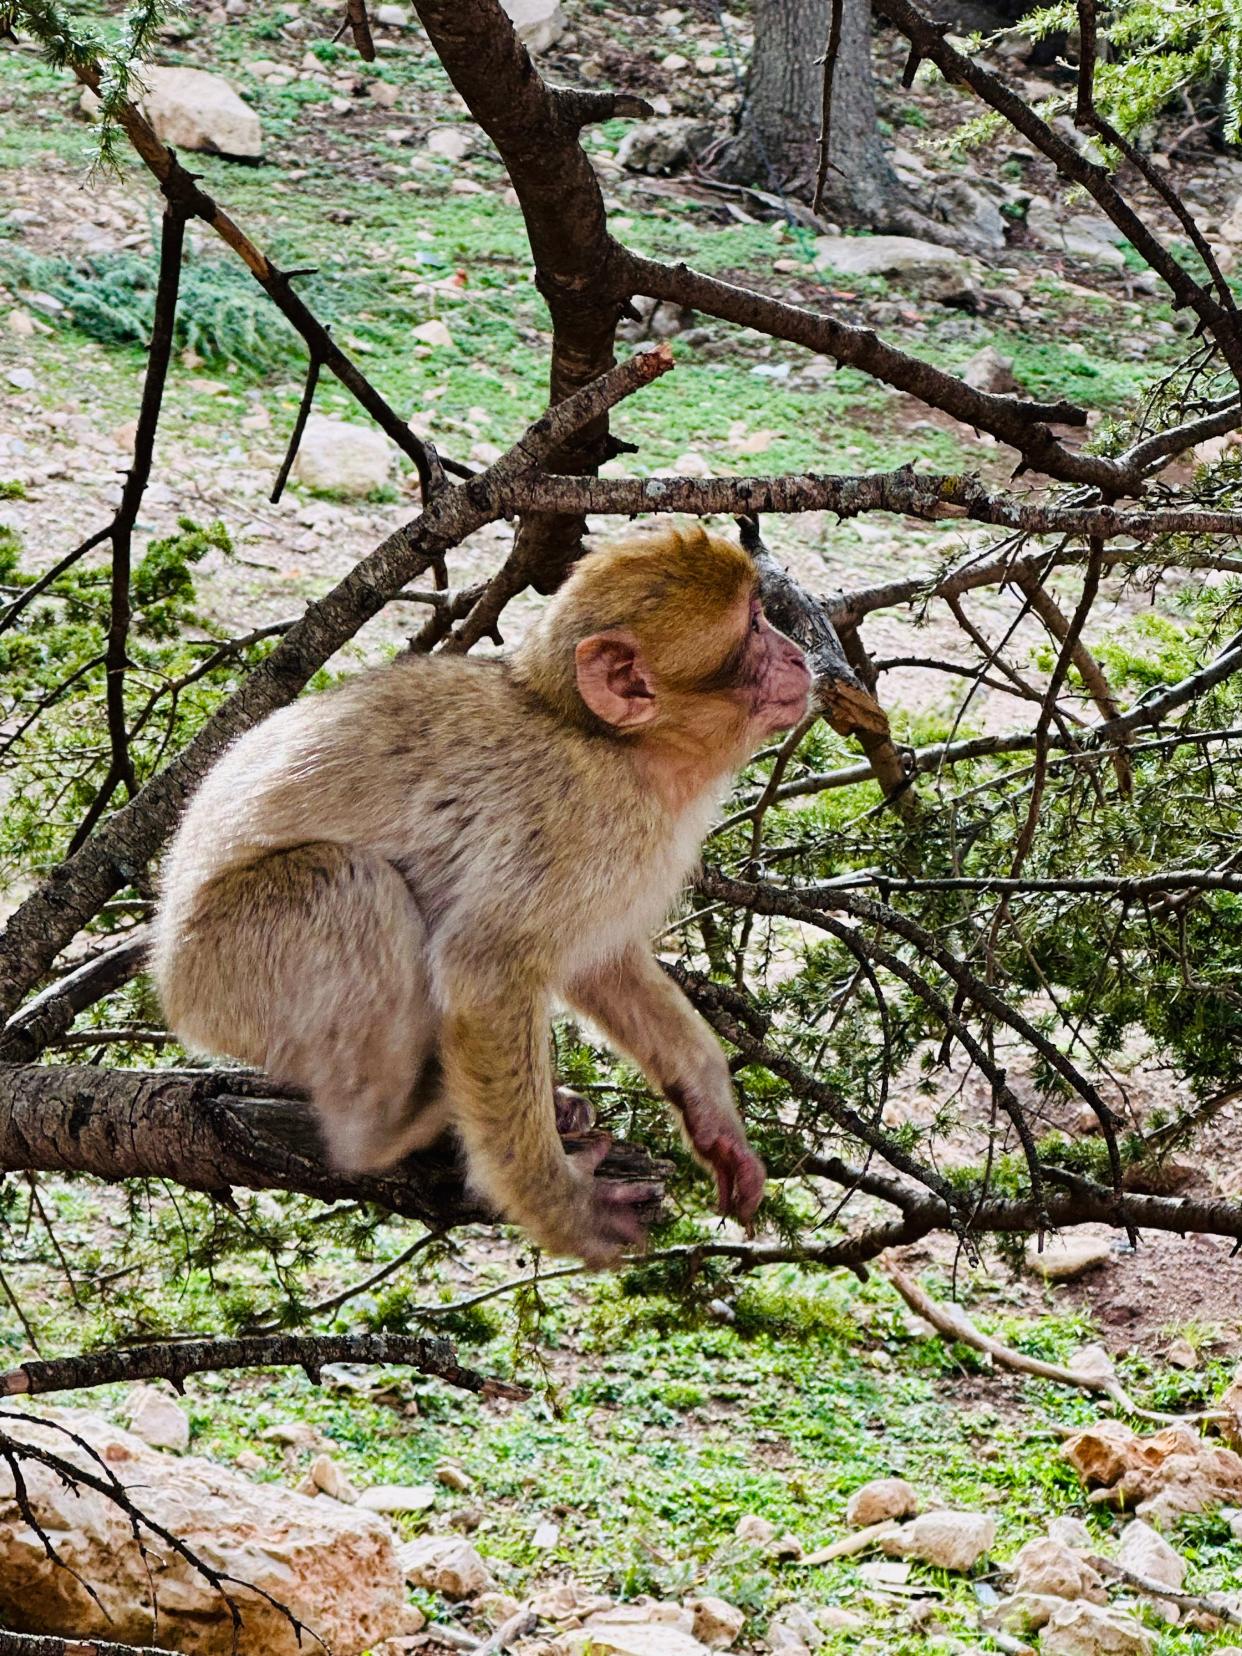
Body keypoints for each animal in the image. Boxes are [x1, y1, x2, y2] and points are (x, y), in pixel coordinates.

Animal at [153, 523, 818, 1258]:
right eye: (754, 627)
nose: (800, 655)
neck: (616, 746)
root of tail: (169, 976)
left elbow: (601, 962)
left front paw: (712, 1111)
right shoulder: (584, 822)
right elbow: (485, 970)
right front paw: (566, 1212)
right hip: (229, 966)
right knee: (355, 886)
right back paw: (393, 1128)